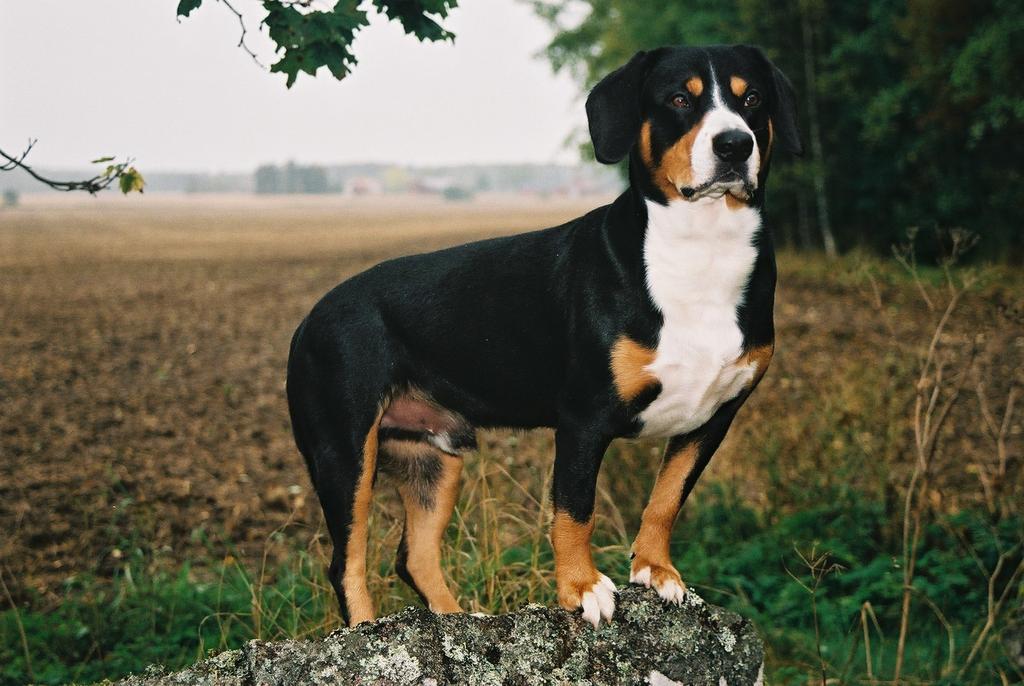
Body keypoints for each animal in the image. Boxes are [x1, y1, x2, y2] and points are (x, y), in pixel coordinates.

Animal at [286, 44, 798, 630]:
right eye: (678, 99)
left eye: (752, 98)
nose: (734, 144)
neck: (701, 250)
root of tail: (310, 319)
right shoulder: (583, 417)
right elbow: (574, 511)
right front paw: (582, 589)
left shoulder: (712, 418)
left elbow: (667, 498)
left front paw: (655, 570)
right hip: (345, 451)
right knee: (346, 562)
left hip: (431, 461)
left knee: (414, 556)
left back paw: (459, 620)